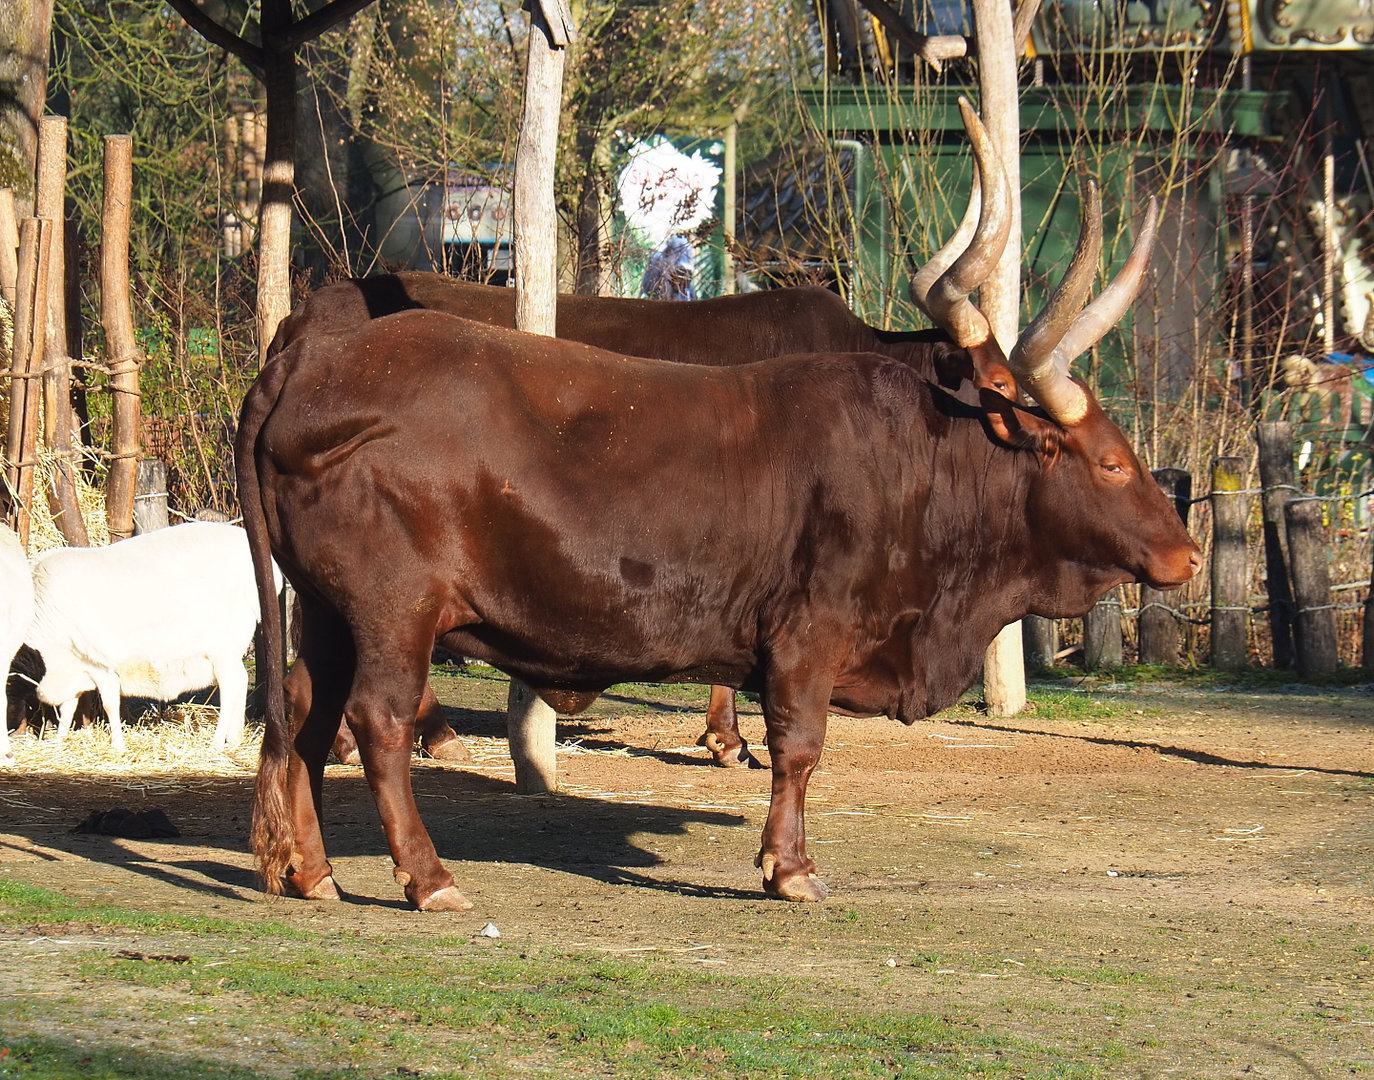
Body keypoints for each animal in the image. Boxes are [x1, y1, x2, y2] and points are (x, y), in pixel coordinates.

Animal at [237, 100, 1201, 910]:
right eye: (1112, 464)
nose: (1184, 554)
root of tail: (311, 357)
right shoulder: (809, 631)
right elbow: (800, 745)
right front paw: (790, 865)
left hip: (328, 609)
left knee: (308, 711)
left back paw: (313, 871)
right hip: (393, 610)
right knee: (377, 719)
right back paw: (428, 877)